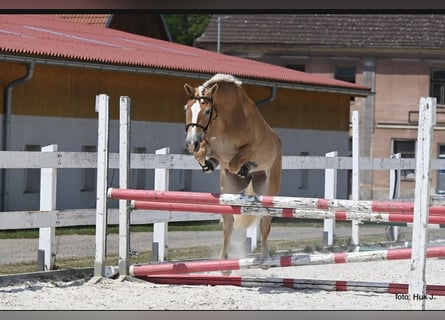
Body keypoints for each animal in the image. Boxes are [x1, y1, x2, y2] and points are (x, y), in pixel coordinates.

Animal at [181, 74, 280, 274]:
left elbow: (235, 162)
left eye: (207, 111)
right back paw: (224, 265)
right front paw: (209, 163)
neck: (224, 121)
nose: (190, 143)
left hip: (268, 190)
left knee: (265, 223)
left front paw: (245, 166)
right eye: (186, 109)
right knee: (228, 224)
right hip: (229, 190)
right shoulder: (206, 144)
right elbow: (201, 154)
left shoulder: (250, 149)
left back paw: (265, 260)